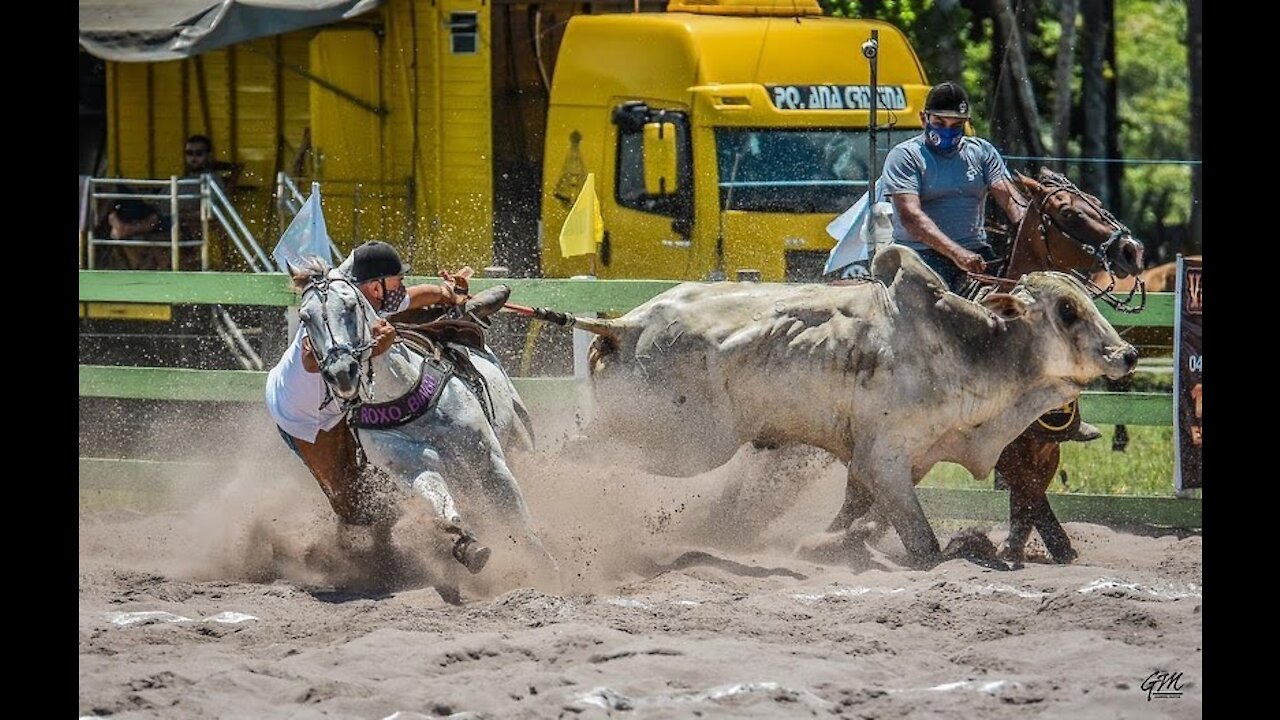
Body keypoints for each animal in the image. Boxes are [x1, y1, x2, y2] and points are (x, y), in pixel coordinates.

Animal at [294, 257, 555, 576]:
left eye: (351, 305)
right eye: (305, 317)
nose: (342, 372)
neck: (403, 392)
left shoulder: (489, 461)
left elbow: (518, 519)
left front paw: (547, 566)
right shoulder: (414, 470)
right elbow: (444, 508)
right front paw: (466, 545)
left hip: (518, 434)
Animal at [573, 243, 1141, 558]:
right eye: (1067, 310)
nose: (1128, 354)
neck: (966, 348)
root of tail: (628, 324)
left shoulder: (896, 458)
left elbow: (857, 512)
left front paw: (829, 543)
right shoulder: (884, 456)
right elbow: (923, 542)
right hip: (677, 444)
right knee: (578, 453)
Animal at [972, 167, 1146, 561]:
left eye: (1096, 201)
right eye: (1068, 213)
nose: (1132, 250)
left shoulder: (1048, 442)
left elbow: (1030, 492)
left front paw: (1020, 545)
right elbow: (1029, 490)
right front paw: (1051, 546)